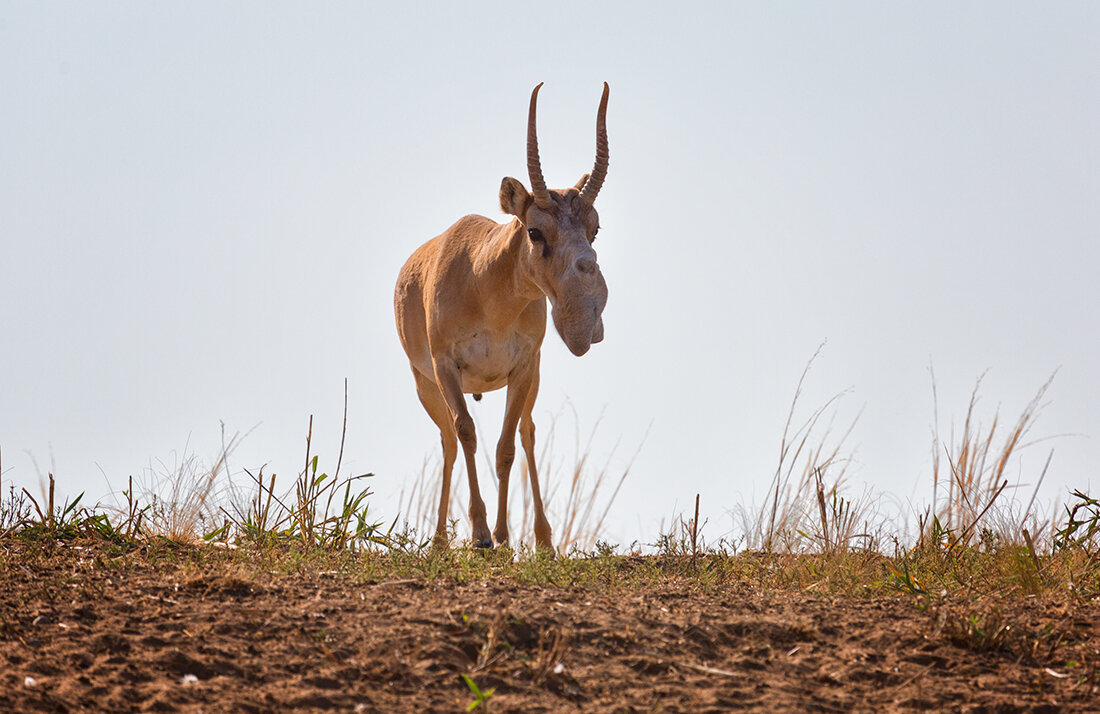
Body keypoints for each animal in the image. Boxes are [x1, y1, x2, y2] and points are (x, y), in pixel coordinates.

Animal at [396, 84, 611, 552]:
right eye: (535, 230)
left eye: (595, 228)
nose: (586, 321)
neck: (484, 285)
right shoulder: (445, 366)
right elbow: (467, 432)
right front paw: (479, 535)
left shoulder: (523, 367)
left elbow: (507, 446)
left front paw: (502, 535)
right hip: (426, 386)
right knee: (449, 440)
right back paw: (439, 540)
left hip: (530, 379)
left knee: (527, 432)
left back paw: (544, 540)